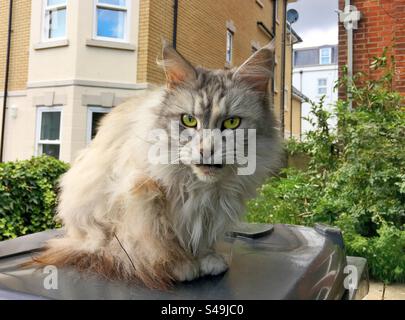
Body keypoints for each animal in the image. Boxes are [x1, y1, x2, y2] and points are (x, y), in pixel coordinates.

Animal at [31, 41, 280, 288]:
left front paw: (206, 258)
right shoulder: (145, 194)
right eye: (189, 120)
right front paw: (180, 265)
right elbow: (161, 239)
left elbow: (201, 237)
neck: (199, 186)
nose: (206, 150)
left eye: (231, 123)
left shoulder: (210, 208)